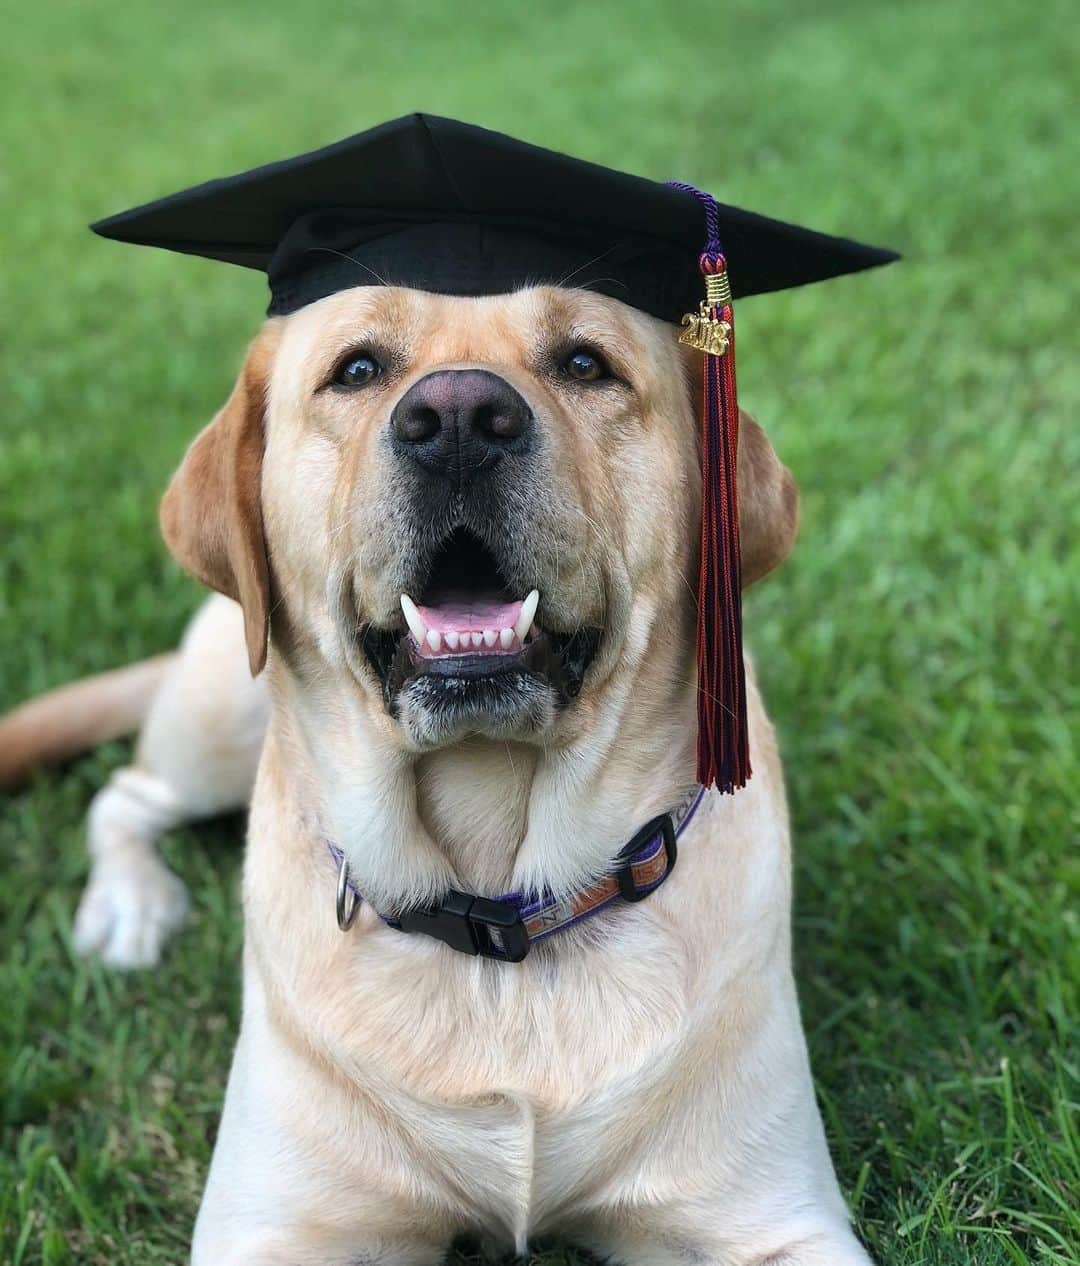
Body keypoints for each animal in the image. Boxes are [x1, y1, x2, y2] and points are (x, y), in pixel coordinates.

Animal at [0, 282, 866, 1260]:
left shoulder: (775, 1221)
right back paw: (129, 908)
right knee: (125, 796)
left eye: (585, 362)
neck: (498, 908)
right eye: (357, 369)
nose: (458, 418)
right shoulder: (278, 1225)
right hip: (217, 717)